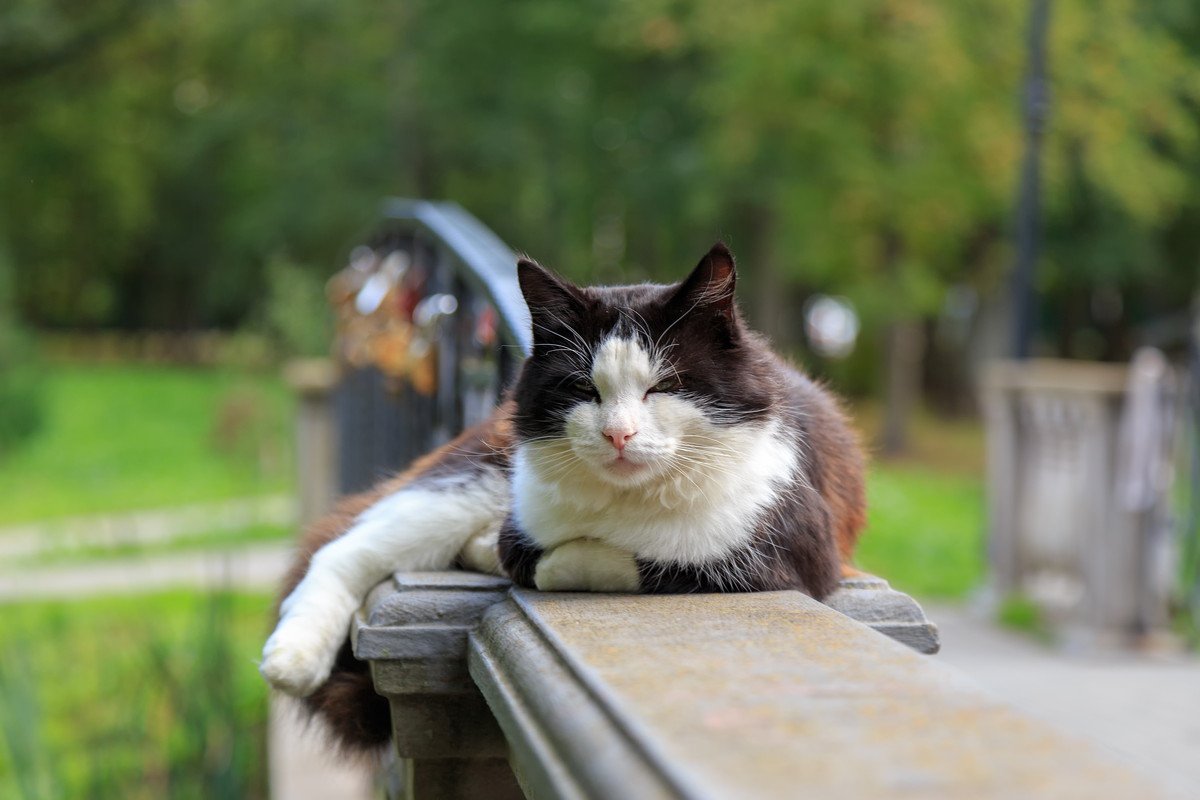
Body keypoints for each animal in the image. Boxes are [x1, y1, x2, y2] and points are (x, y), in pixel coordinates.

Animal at [260, 241, 864, 753]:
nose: (618, 434)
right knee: (343, 549)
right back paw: (292, 658)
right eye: (582, 388)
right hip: (475, 476)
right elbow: (535, 555)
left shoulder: (788, 550)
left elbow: (649, 559)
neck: (628, 502)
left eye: (664, 386)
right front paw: (521, 553)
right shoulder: (523, 509)